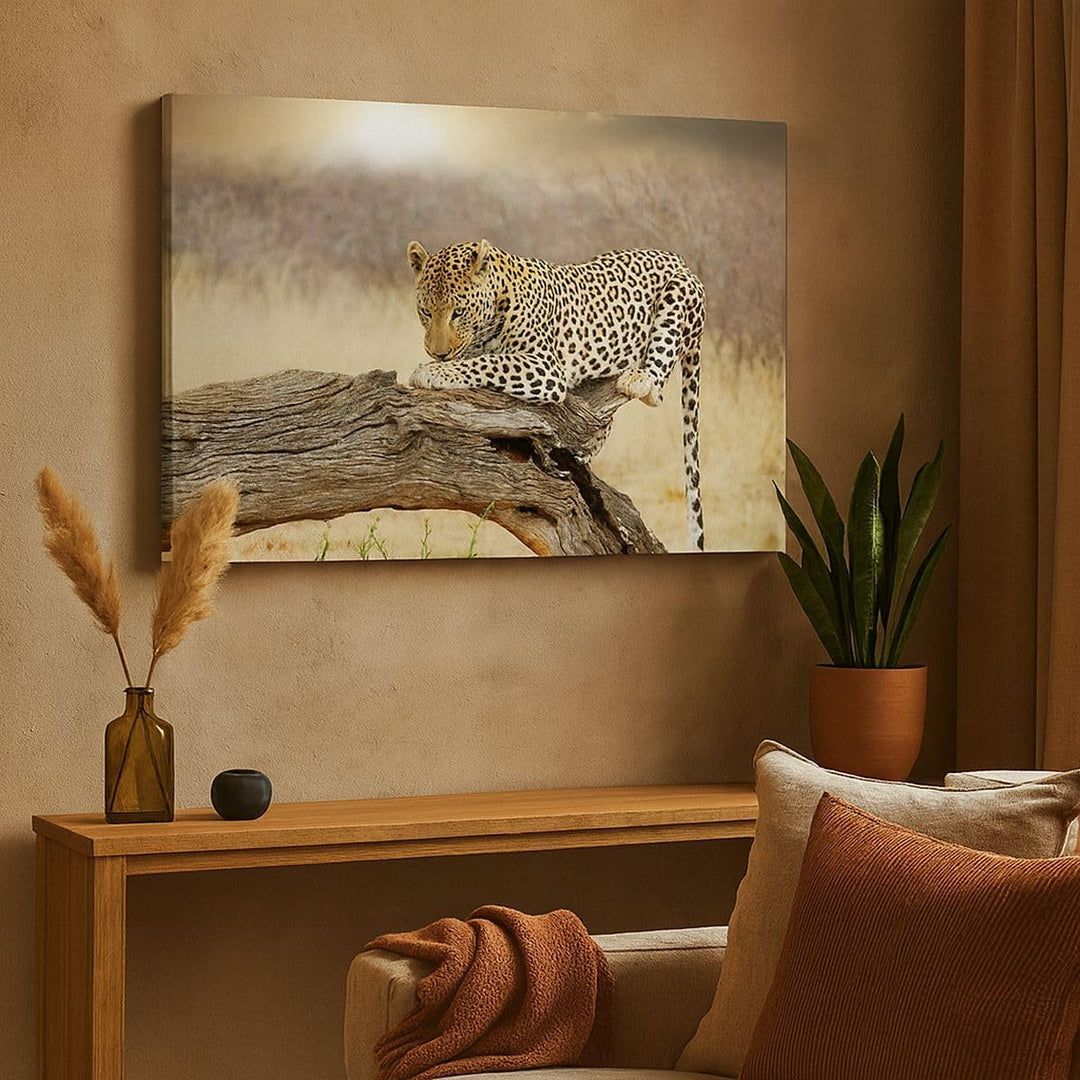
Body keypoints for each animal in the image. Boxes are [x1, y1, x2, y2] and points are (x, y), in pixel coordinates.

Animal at [406, 238, 708, 551]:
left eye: (458, 312)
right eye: (426, 312)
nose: (438, 353)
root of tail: (679, 259)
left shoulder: (546, 367)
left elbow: (489, 362)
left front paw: (432, 372)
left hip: (678, 294)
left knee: (657, 384)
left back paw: (639, 379)